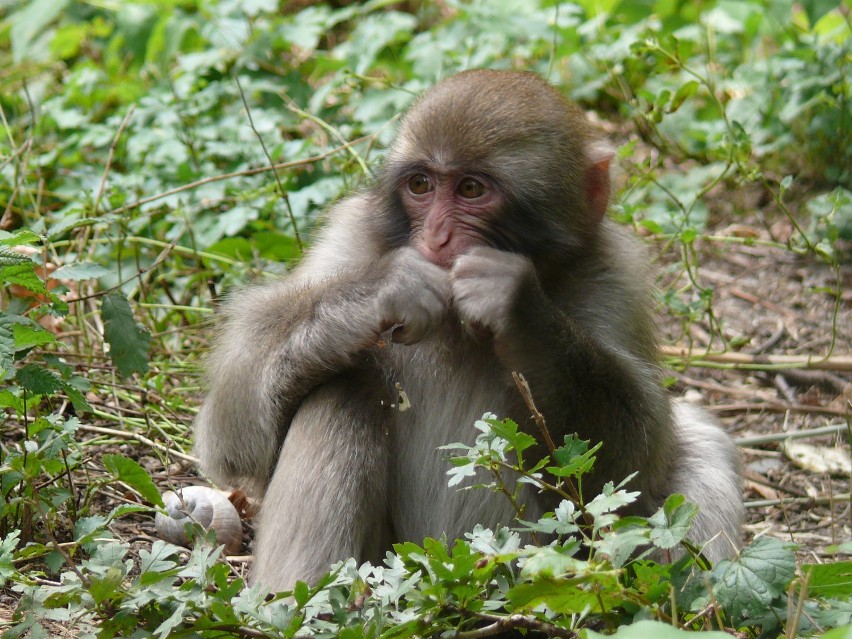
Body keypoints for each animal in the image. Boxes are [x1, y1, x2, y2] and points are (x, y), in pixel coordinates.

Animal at [196, 69, 744, 592]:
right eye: (421, 185)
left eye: (472, 190)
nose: (437, 237)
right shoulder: (350, 236)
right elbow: (230, 434)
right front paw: (389, 287)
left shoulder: (616, 274)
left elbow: (633, 459)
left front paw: (517, 308)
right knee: (341, 386)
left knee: (699, 443)